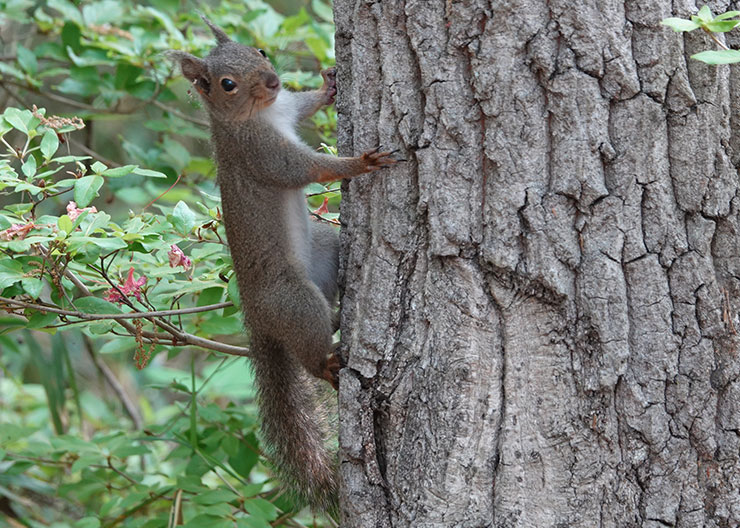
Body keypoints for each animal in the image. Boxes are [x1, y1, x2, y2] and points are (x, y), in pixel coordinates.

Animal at [170, 17, 395, 509]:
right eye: (226, 84)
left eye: (260, 51)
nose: (272, 81)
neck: (262, 115)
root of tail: (256, 317)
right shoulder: (262, 152)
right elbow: (310, 169)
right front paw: (360, 162)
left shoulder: (288, 109)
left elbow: (305, 105)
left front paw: (328, 87)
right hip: (294, 299)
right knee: (309, 351)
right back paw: (327, 364)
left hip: (324, 250)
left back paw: (337, 318)